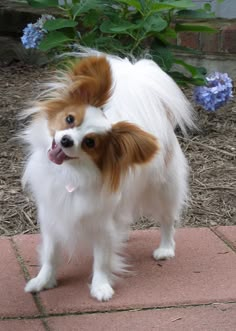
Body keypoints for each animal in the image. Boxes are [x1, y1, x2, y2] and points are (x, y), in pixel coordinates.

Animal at [21, 50, 194, 304]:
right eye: (70, 119)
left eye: (90, 143)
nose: (66, 140)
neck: (71, 173)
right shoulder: (53, 216)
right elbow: (51, 255)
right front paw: (43, 281)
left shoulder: (102, 224)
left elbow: (102, 260)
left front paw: (101, 287)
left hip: (164, 191)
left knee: (167, 221)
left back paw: (165, 249)